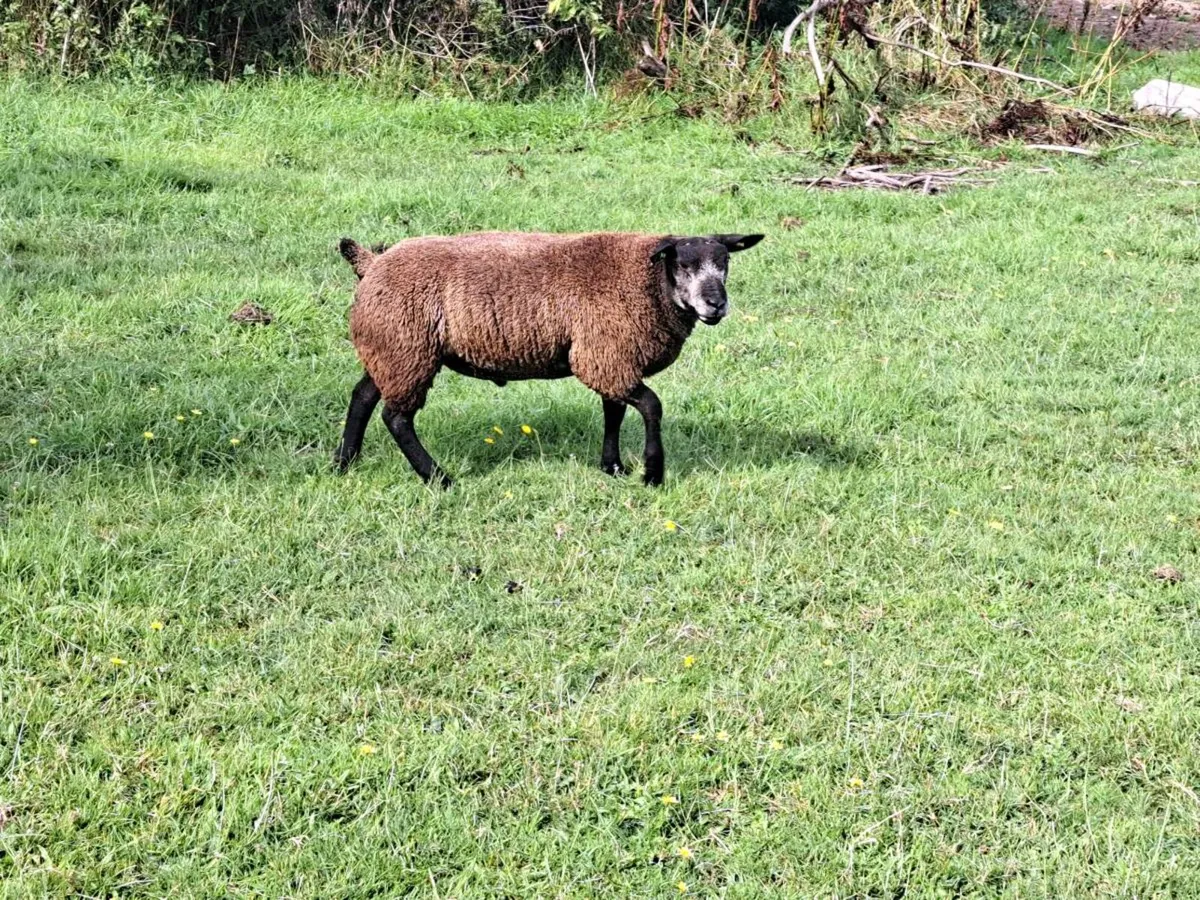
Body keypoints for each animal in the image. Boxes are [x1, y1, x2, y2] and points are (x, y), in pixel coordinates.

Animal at [334, 230, 764, 488]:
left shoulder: (610, 356)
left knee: (362, 397)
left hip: (390, 349)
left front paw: (613, 467)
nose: (716, 304)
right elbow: (651, 406)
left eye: (724, 263)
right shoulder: (605, 354)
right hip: (406, 349)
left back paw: (344, 462)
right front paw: (652, 473)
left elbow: (614, 411)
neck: (647, 281)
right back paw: (438, 478)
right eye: (684, 265)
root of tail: (371, 263)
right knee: (396, 417)